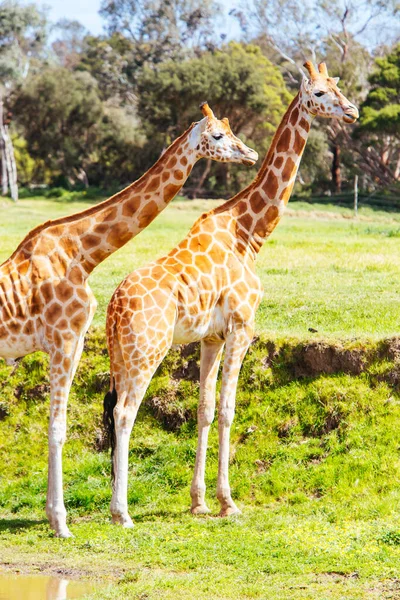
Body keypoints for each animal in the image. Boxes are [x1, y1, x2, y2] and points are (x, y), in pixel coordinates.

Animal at [0, 104, 258, 540]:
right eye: (218, 136)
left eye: (231, 129)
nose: (251, 154)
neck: (82, 254)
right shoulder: (63, 340)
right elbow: (58, 427)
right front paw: (62, 522)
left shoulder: (72, 343)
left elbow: (60, 424)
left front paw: (59, 517)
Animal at [104, 61, 360, 524]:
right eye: (318, 93)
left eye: (338, 86)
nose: (351, 112)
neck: (249, 233)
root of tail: (113, 309)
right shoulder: (243, 326)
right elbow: (227, 412)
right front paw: (229, 502)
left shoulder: (211, 337)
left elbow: (204, 411)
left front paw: (199, 501)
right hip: (147, 352)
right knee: (124, 412)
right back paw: (122, 513)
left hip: (119, 355)